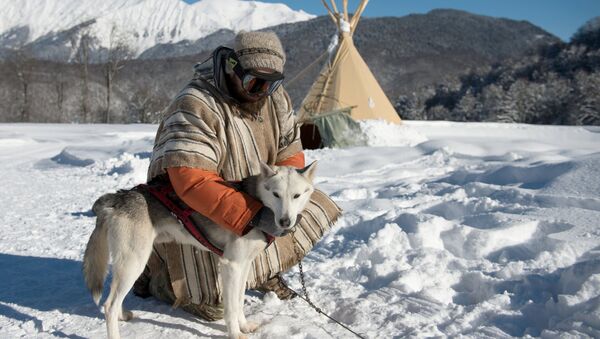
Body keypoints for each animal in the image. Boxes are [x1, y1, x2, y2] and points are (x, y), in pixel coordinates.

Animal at [85, 163, 318, 339]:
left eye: (296, 195)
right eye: (276, 194)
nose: (285, 221)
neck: (258, 209)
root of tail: (117, 199)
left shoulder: (243, 266)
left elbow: (239, 301)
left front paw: (244, 326)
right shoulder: (231, 266)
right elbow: (231, 307)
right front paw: (235, 333)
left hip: (128, 266)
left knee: (115, 300)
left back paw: (123, 315)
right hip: (134, 263)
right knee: (109, 305)